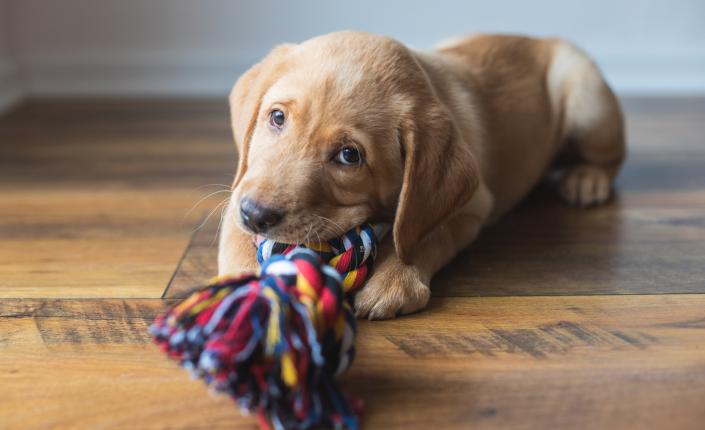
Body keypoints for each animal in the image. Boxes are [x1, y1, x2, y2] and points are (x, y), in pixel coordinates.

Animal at [217, 30, 624, 320]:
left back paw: (587, 179)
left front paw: (394, 278)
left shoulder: (472, 207)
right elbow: (236, 236)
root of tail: (544, 40)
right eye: (277, 117)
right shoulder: (241, 187)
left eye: (350, 156)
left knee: (612, 156)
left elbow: (423, 234)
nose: (256, 215)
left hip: (587, 101)